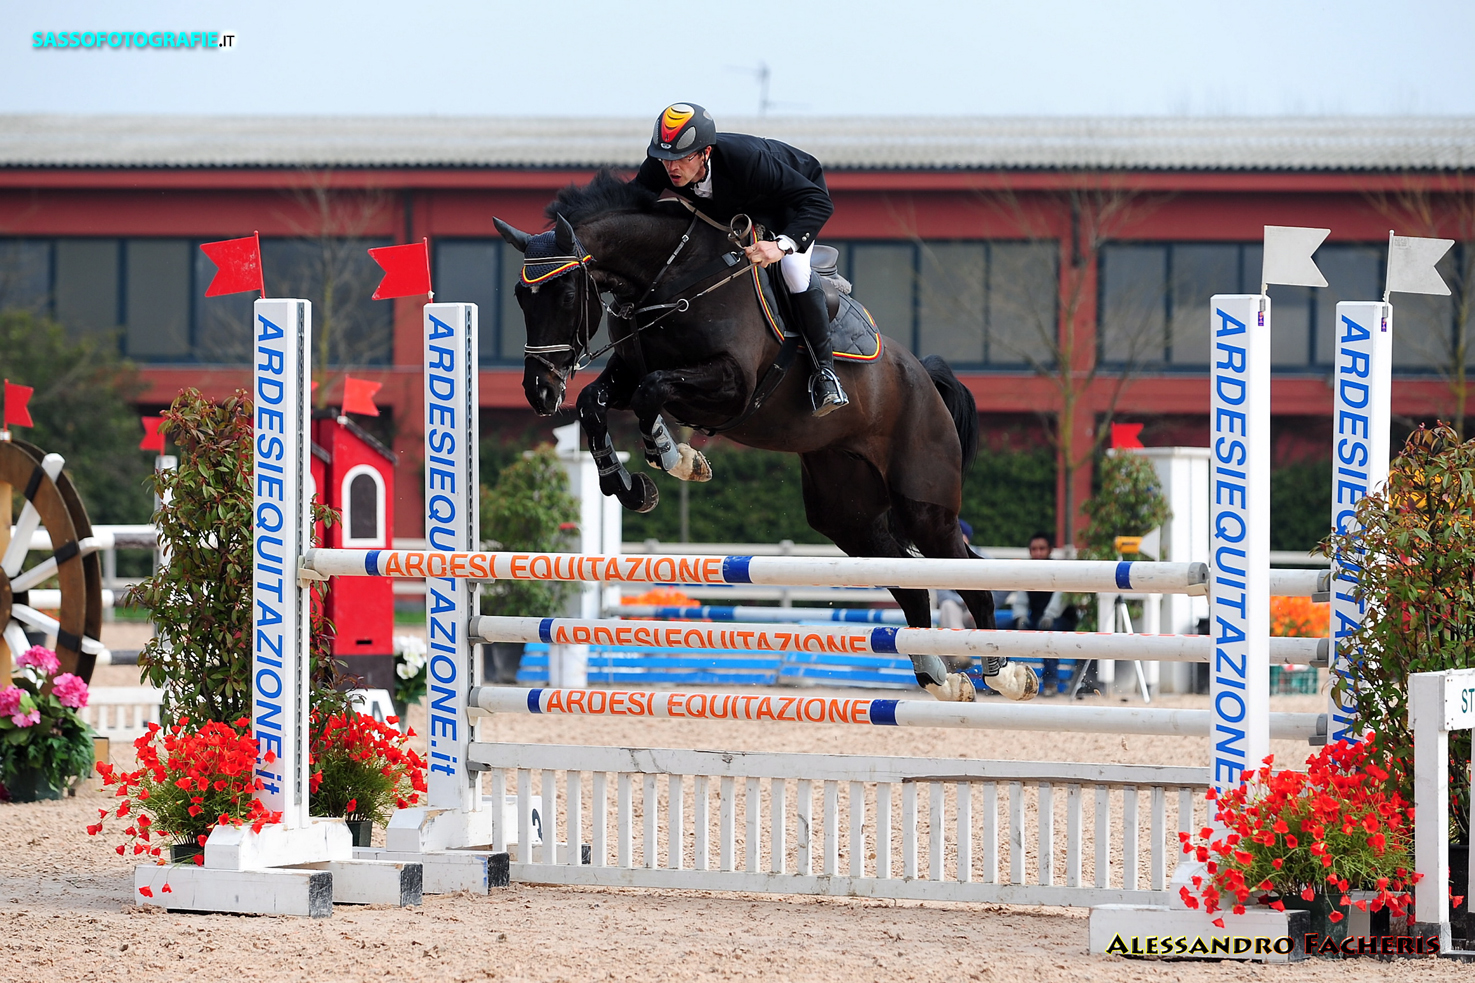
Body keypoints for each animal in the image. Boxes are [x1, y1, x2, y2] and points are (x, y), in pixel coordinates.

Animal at [493, 171, 1036, 703]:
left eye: (566, 295)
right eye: (520, 296)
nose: (539, 392)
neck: (670, 278)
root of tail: (924, 378)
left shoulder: (730, 386)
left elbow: (654, 392)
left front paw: (675, 457)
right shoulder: (628, 374)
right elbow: (594, 403)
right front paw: (630, 486)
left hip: (925, 505)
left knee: (968, 577)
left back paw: (1004, 674)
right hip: (848, 515)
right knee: (908, 582)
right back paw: (939, 675)